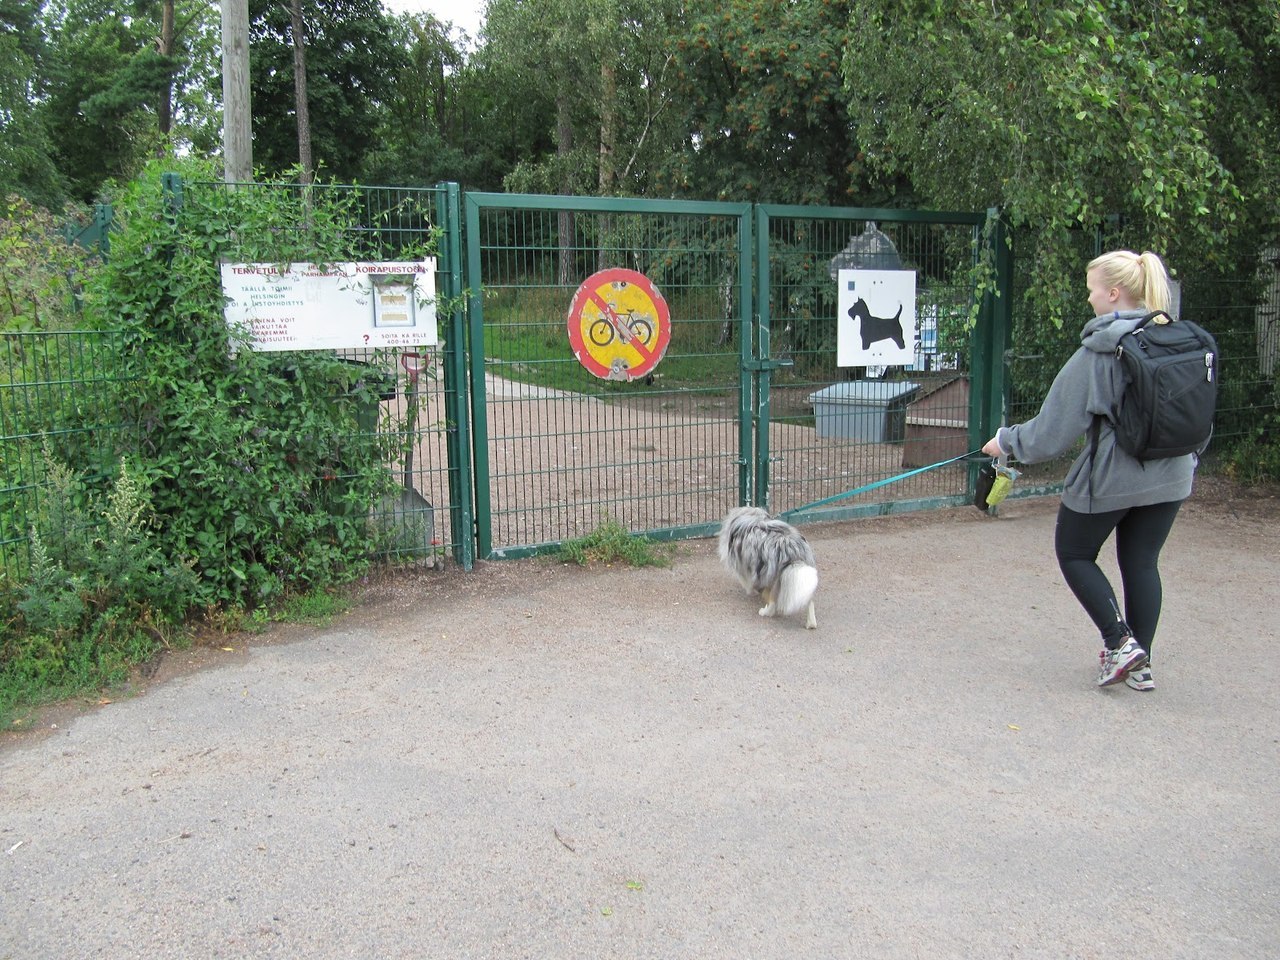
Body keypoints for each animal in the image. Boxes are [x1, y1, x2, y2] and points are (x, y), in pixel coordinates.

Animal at [721, 504, 819, 632]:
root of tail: (790, 548)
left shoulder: (743, 566)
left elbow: (746, 581)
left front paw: (751, 591)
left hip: (771, 574)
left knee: (772, 600)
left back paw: (765, 612)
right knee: (809, 601)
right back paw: (811, 623)